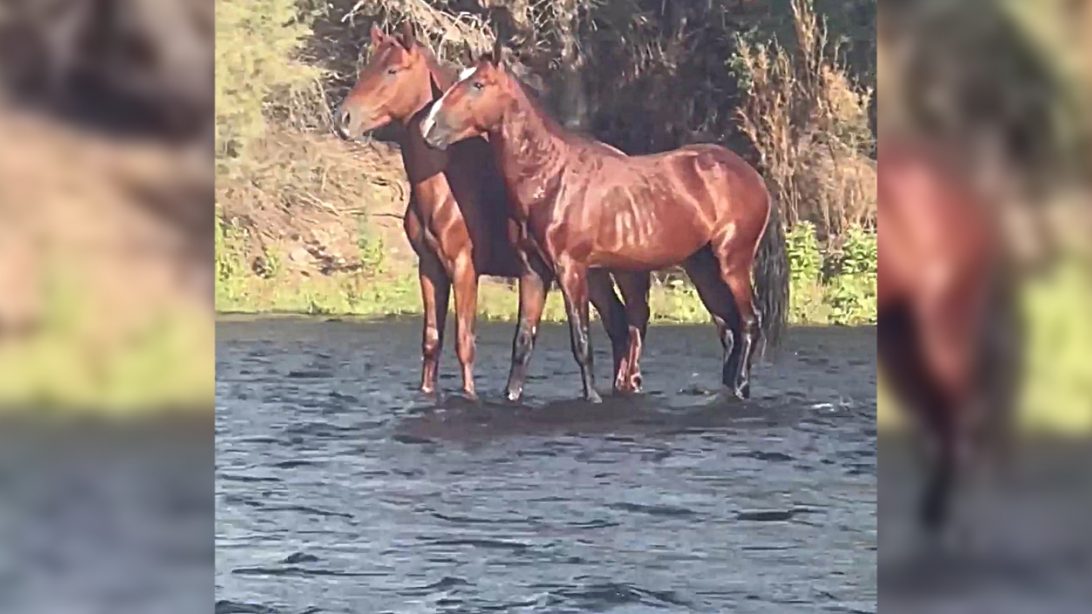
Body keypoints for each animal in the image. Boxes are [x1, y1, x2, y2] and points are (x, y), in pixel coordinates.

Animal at [334, 23, 652, 400]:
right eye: (370, 66)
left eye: (392, 70)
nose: (344, 119)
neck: (447, 183)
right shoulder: (430, 268)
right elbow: (431, 342)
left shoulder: (464, 267)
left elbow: (464, 342)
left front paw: (469, 394)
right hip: (593, 274)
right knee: (618, 325)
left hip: (621, 272)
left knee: (632, 324)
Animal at [420, 44, 789, 403]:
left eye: (478, 84)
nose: (429, 128)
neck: (549, 177)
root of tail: (754, 177)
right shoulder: (533, 271)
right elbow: (523, 341)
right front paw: (512, 395)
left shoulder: (571, 269)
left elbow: (582, 341)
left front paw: (593, 397)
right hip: (702, 268)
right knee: (729, 328)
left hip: (732, 263)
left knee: (749, 321)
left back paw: (740, 387)